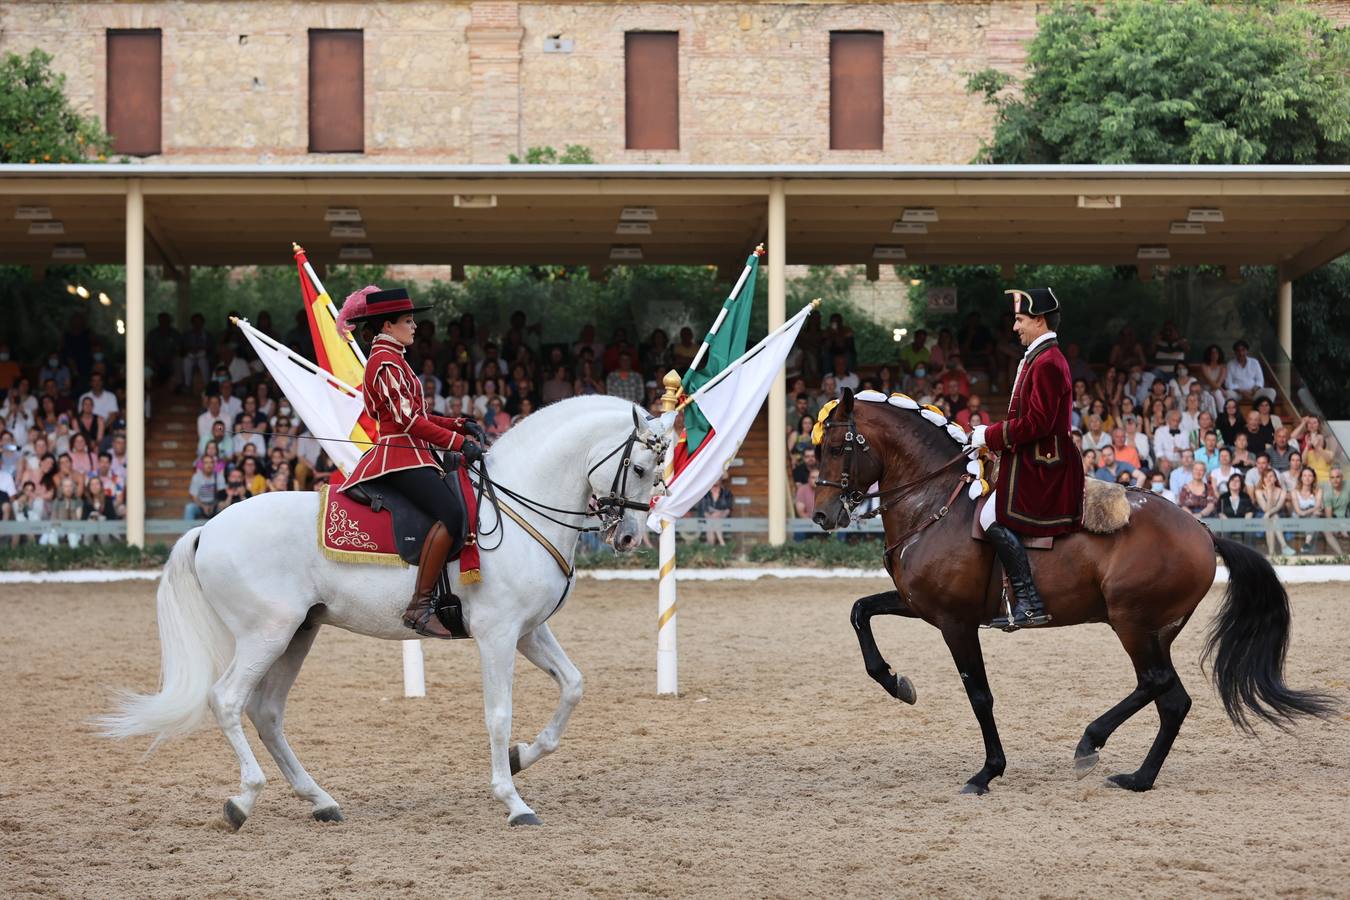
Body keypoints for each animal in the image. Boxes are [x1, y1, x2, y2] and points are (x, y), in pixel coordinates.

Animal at [97, 399, 666, 831]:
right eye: (639, 468)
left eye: (660, 472)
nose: (630, 537)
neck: (517, 508)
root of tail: (208, 529)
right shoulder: (498, 635)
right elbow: (498, 715)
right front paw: (514, 802)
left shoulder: (529, 631)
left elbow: (573, 685)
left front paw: (521, 757)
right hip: (267, 633)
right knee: (228, 700)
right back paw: (243, 799)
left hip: (297, 634)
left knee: (267, 712)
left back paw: (319, 799)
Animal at [810, 388, 1328, 793]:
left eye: (837, 447)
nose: (821, 515)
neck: (936, 504)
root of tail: (1202, 530)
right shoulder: (922, 606)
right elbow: (859, 611)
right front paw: (895, 682)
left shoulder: (956, 623)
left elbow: (979, 694)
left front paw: (987, 772)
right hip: (1156, 630)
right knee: (1171, 698)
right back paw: (1138, 777)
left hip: (1131, 621)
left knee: (1156, 683)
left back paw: (1092, 742)